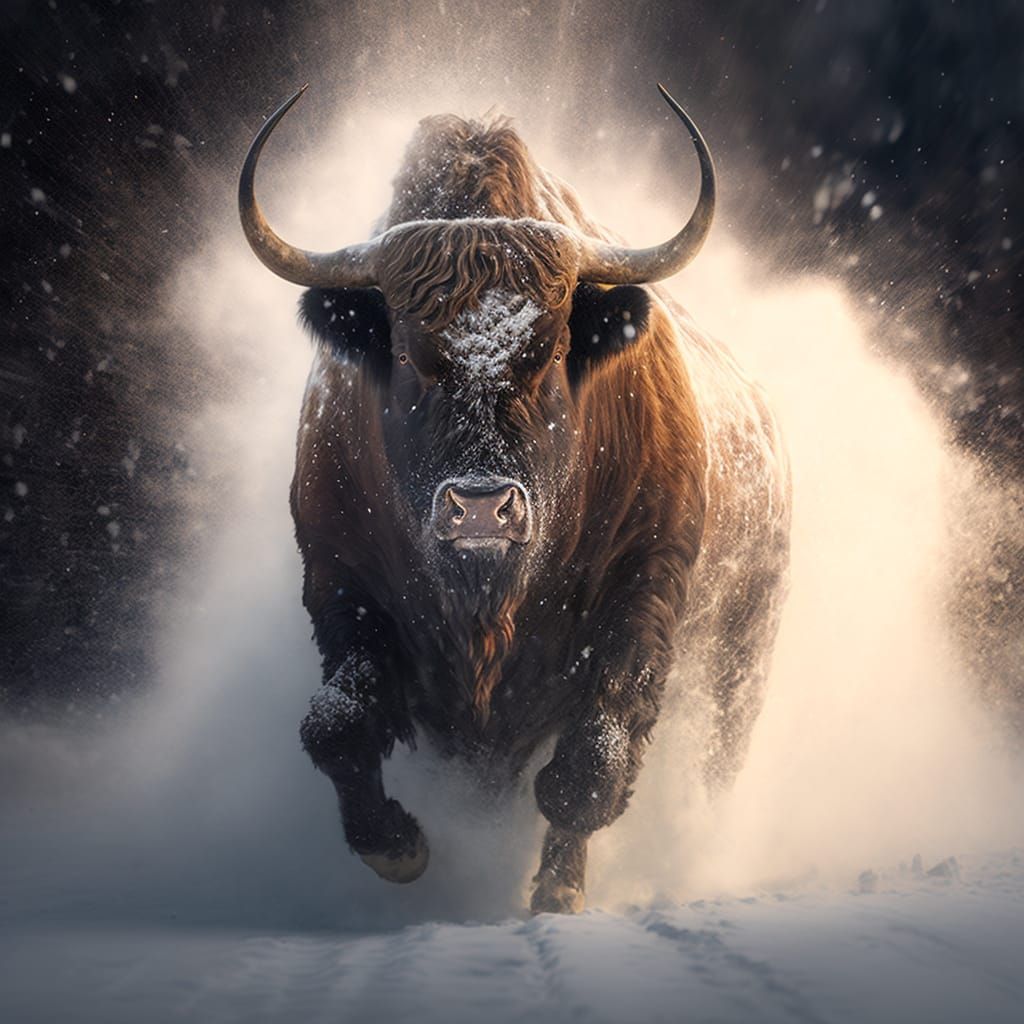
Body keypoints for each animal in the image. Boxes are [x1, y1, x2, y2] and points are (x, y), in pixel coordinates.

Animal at [238, 84, 790, 914]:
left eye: (552, 350)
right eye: (408, 354)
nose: (480, 510)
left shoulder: (644, 585)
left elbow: (595, 755)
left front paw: (556, 894)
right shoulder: (341, 580)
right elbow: (337, 724)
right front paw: (400, 848)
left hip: (738, 669)